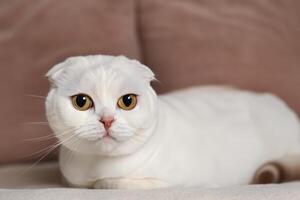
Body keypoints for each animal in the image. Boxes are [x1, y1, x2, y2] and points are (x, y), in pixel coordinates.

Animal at [45, 55, 300, 189]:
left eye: (127, 101)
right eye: (81, 102)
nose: (107, 120)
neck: (96, 167)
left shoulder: (170, 183)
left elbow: (110, 182)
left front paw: (103, 182)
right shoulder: (70, 179)